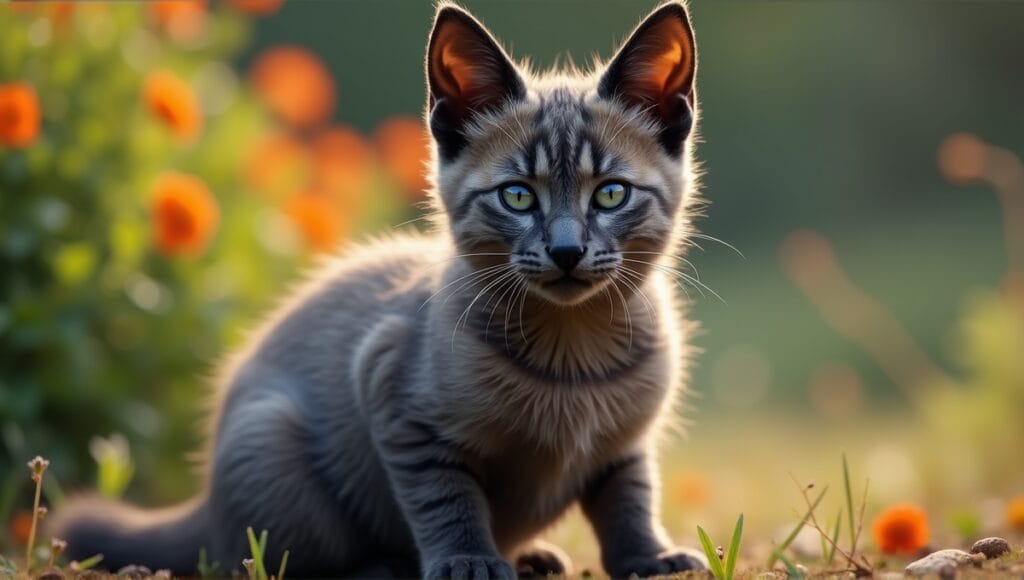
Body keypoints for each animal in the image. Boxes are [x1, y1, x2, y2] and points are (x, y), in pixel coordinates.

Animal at [56, 2, 708, 577]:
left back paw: (533, 556)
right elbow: (446, 501)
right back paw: (382, 567)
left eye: (611, 193)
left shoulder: (625, 443)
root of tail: (206, 505)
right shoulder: (399, 404)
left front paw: (650, 557)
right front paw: (468, 562)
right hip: (270, 442)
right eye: (518, 196)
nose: (568, 251)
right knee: (264, 558)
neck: (573, 351)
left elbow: (629, 497)